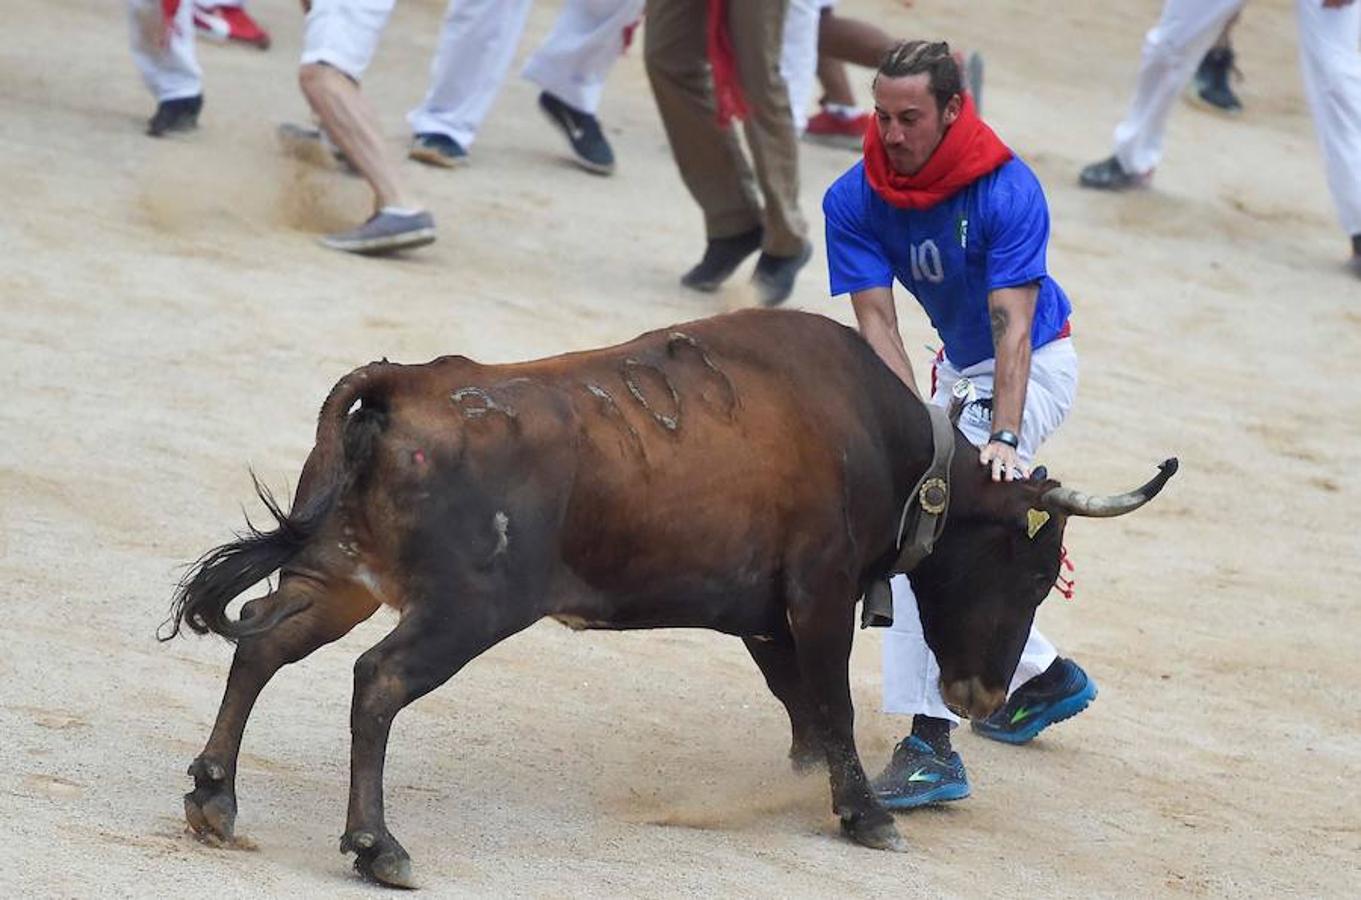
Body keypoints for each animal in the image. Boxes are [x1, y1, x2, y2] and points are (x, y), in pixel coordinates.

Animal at [164, 309, 1175, 882]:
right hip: (464, 612)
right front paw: (865, 816)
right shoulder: (817, 597)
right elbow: (835, 705)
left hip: (334, 575)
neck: (888, 443)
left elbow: (802, 707)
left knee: (261, 642)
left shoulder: (764, 618)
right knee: (375, 682)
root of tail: (404, 384)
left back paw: (214, 798)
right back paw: (377, 846)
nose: (981, 697)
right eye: (1035, 572)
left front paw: (806, 783)